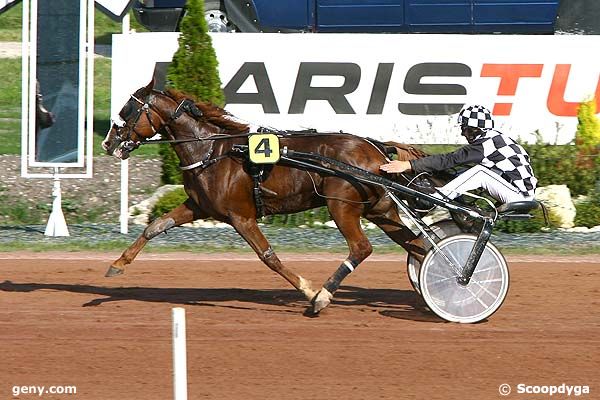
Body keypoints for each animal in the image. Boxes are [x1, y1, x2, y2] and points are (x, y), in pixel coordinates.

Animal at [104, 79, 436, 316]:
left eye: (127, 111)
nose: (108, 143)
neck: (212, 152)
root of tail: (376, 148)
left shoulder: (241, 216)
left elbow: (268, 257)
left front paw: (309, 291)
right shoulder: (199, 206)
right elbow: (155, 226)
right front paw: (118, 264)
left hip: (342, 206)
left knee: (361, 248)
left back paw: (324, 296)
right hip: (381, 211)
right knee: (419, 247)